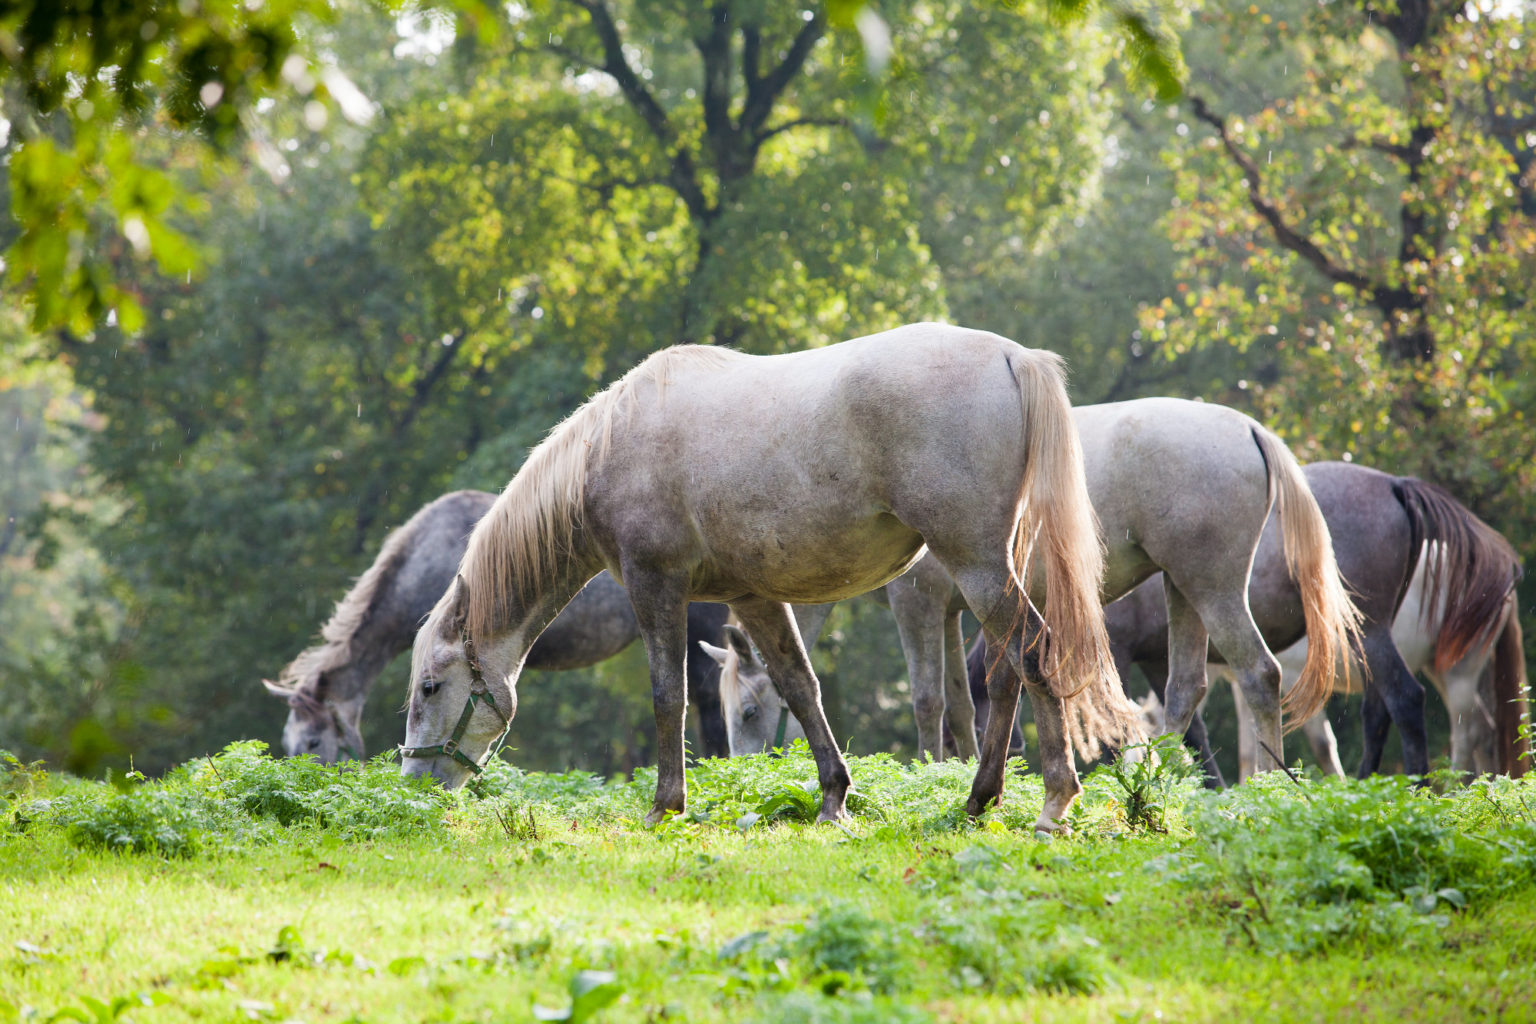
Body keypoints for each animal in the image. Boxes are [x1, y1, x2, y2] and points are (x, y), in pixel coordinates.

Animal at [396, 322, 1142, 835]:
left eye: (430, 687)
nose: (413, 782)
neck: (610, 448)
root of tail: (1012, 356)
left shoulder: (655, 585)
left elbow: (669, 696)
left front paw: (666, 807)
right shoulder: (752, 598)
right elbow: (799, 686)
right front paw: (835, 798)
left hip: (976, 564)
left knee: (1034, 657)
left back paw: (1052, 803)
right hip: (991, 570)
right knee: (1009, 674)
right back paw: (979, 799)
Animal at [712, 396, 1363, 773]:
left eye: (748, 711)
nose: (742, 770)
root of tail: (1250, 428)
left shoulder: (917, 604)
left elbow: (927, 699)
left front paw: (929, 771)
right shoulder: (951, 612)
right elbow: (958, 702)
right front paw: (961, 771)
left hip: (1213, 589)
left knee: (1259, 676)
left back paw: (1266, 782)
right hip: (1185, 591)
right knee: (1186, 690)